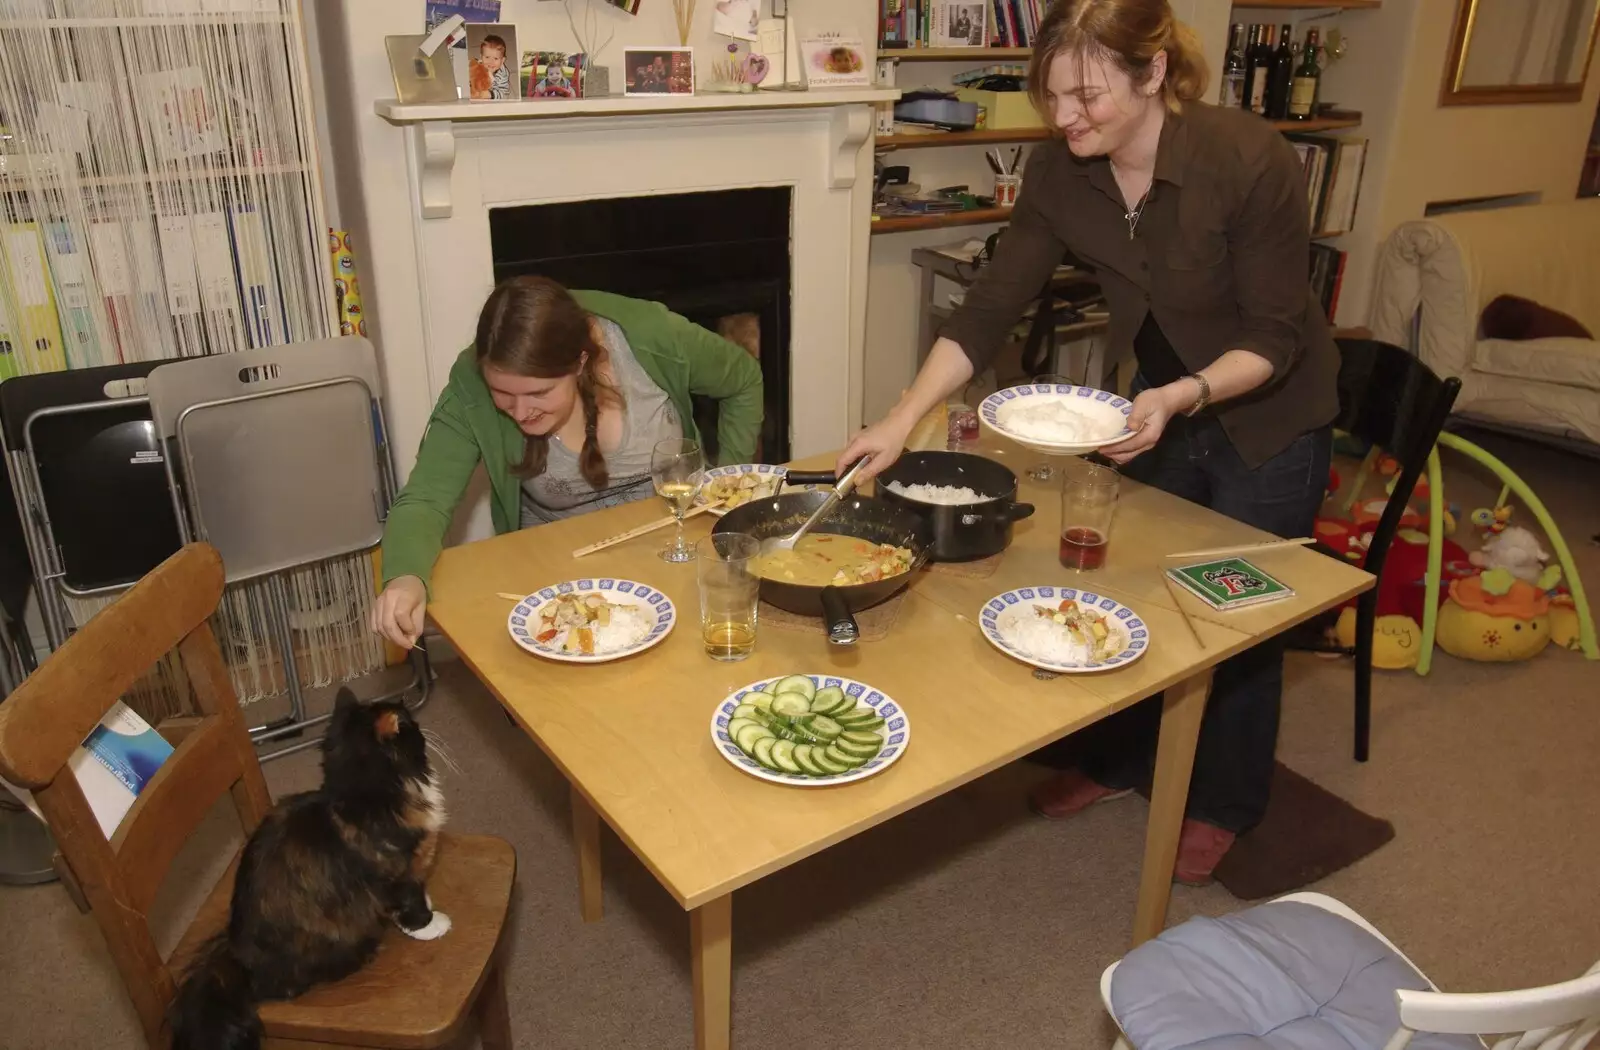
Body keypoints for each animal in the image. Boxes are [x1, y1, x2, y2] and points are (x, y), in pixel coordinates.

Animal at [171, 688, 448, 1050]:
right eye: (410, 727)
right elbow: (413, 902)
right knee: (287, 987)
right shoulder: (397, 873)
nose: (423, 730)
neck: (364, 798)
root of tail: (235, 957)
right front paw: (431, 925)